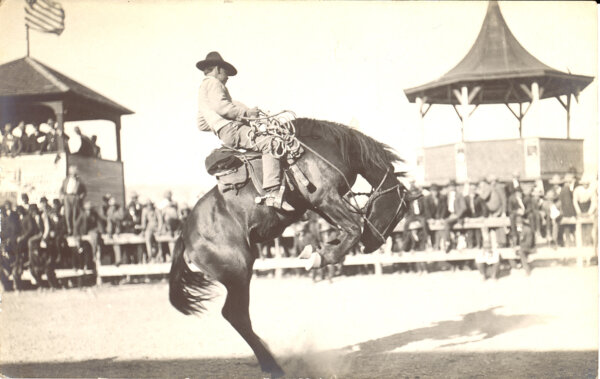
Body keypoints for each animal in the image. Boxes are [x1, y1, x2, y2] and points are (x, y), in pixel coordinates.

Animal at [171, 117, 410, 378]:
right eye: (400, 213)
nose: (373, 244)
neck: (331, 147)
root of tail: (186, 234)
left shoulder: (319, 205)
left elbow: (346, 230)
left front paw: (318, 250)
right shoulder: (324, 197)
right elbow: (354, 228)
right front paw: (319, 257)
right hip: (238, 273)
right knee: (236, 315)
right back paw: (273, 366)